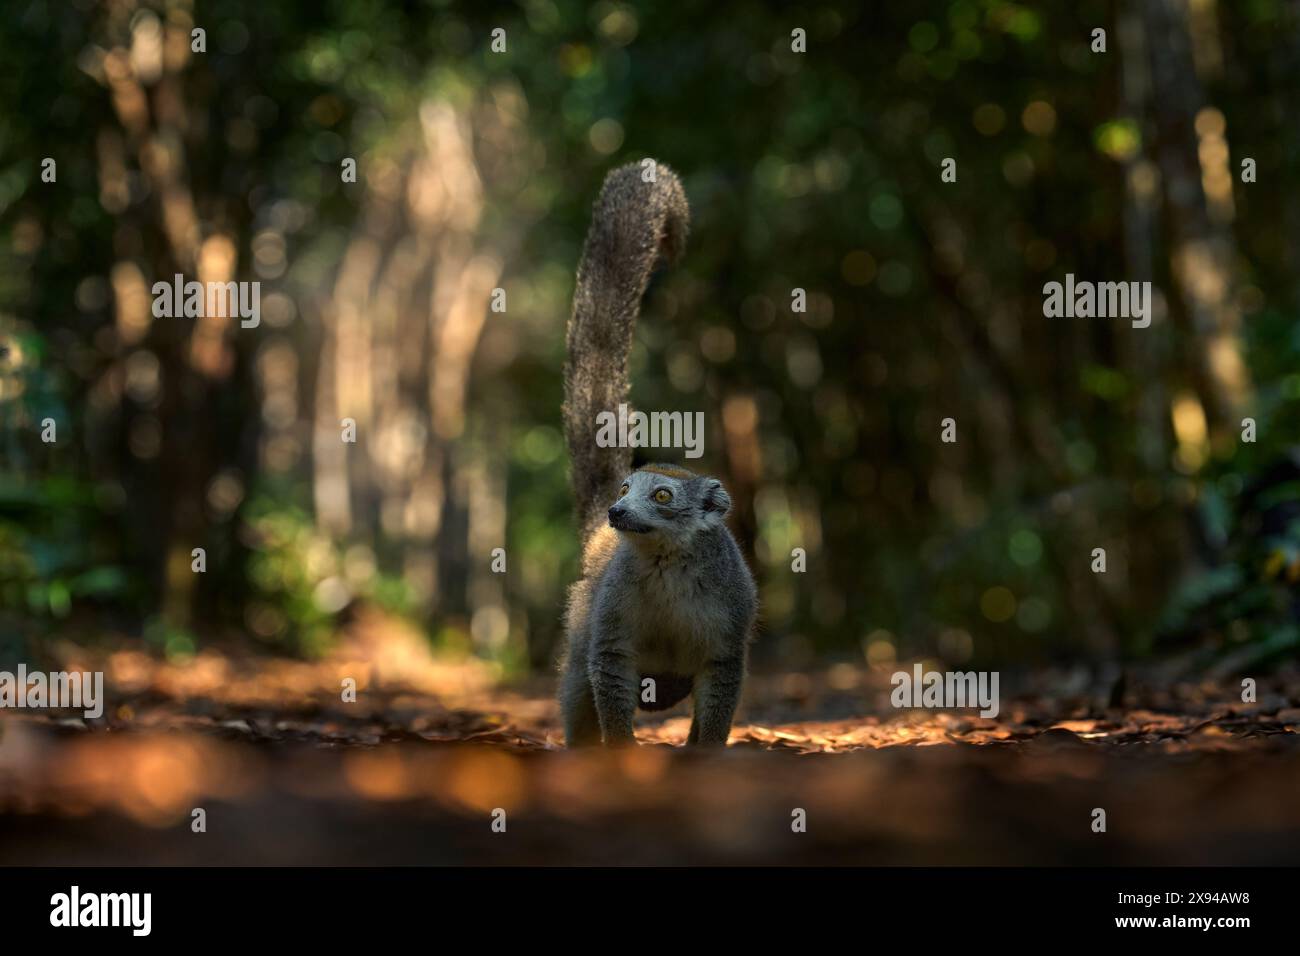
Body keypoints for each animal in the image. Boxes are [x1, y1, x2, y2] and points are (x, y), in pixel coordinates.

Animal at [559, 160, 757, 748]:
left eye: (663, 496)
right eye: (626, 490)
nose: (617, 509)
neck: (666, 564)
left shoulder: (731, 615)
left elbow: (722, 677)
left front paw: (703, 755)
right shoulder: (610, 613)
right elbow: (606, 667)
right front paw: (618, 754)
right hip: (583, 608)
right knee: (578, 681)